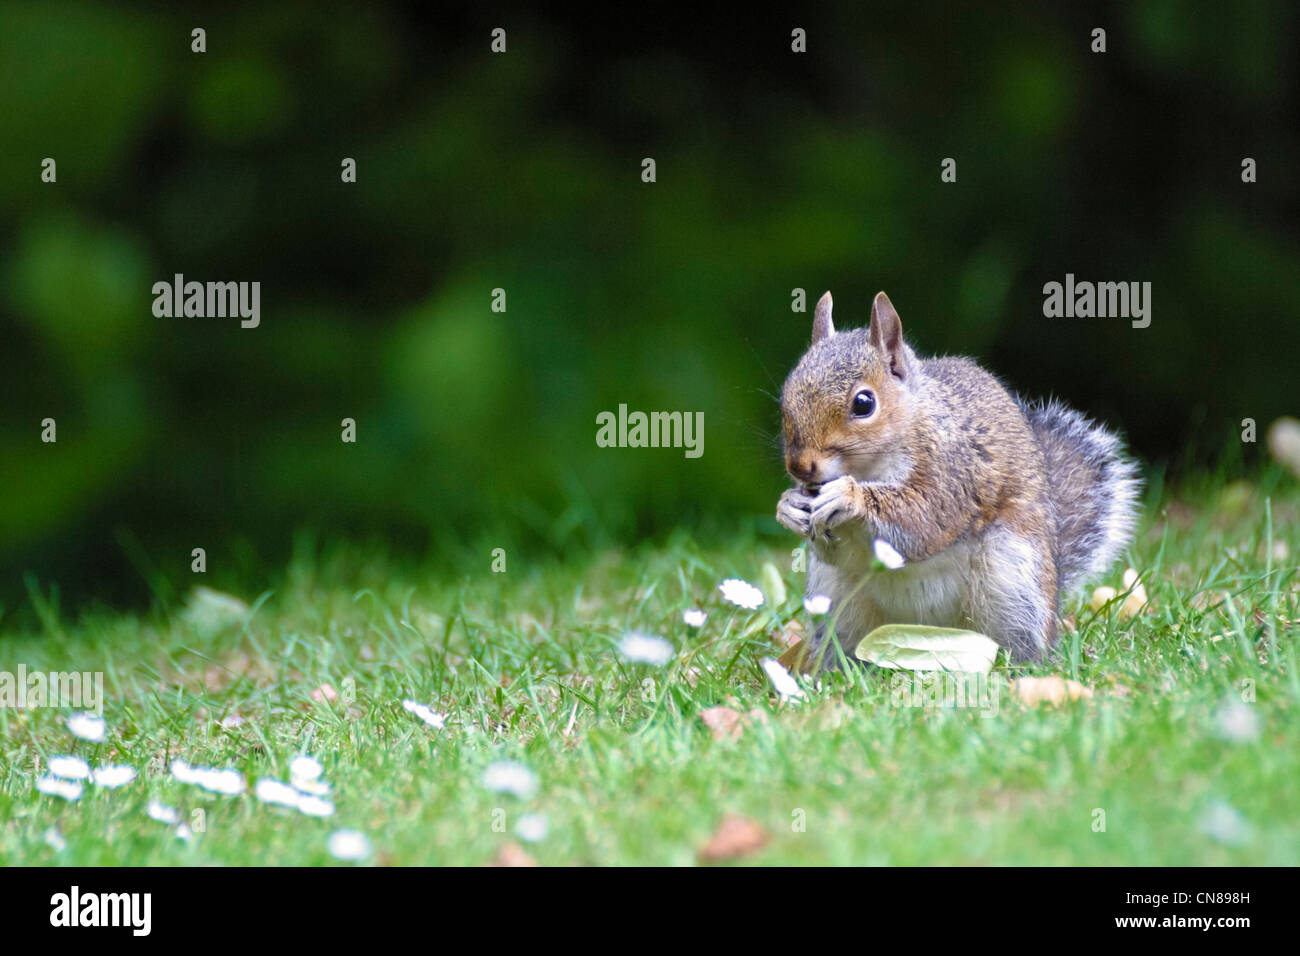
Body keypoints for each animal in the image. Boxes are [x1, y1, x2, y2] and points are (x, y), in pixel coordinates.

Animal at [774, 287, 1144, 671]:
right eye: (786, 397)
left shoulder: (954, 472)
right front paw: (788, 506)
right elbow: (836, 550)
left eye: (864, 403)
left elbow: (923, 517)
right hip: (836, 599)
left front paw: (850, 497)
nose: (800, 467)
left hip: (1016, 584)